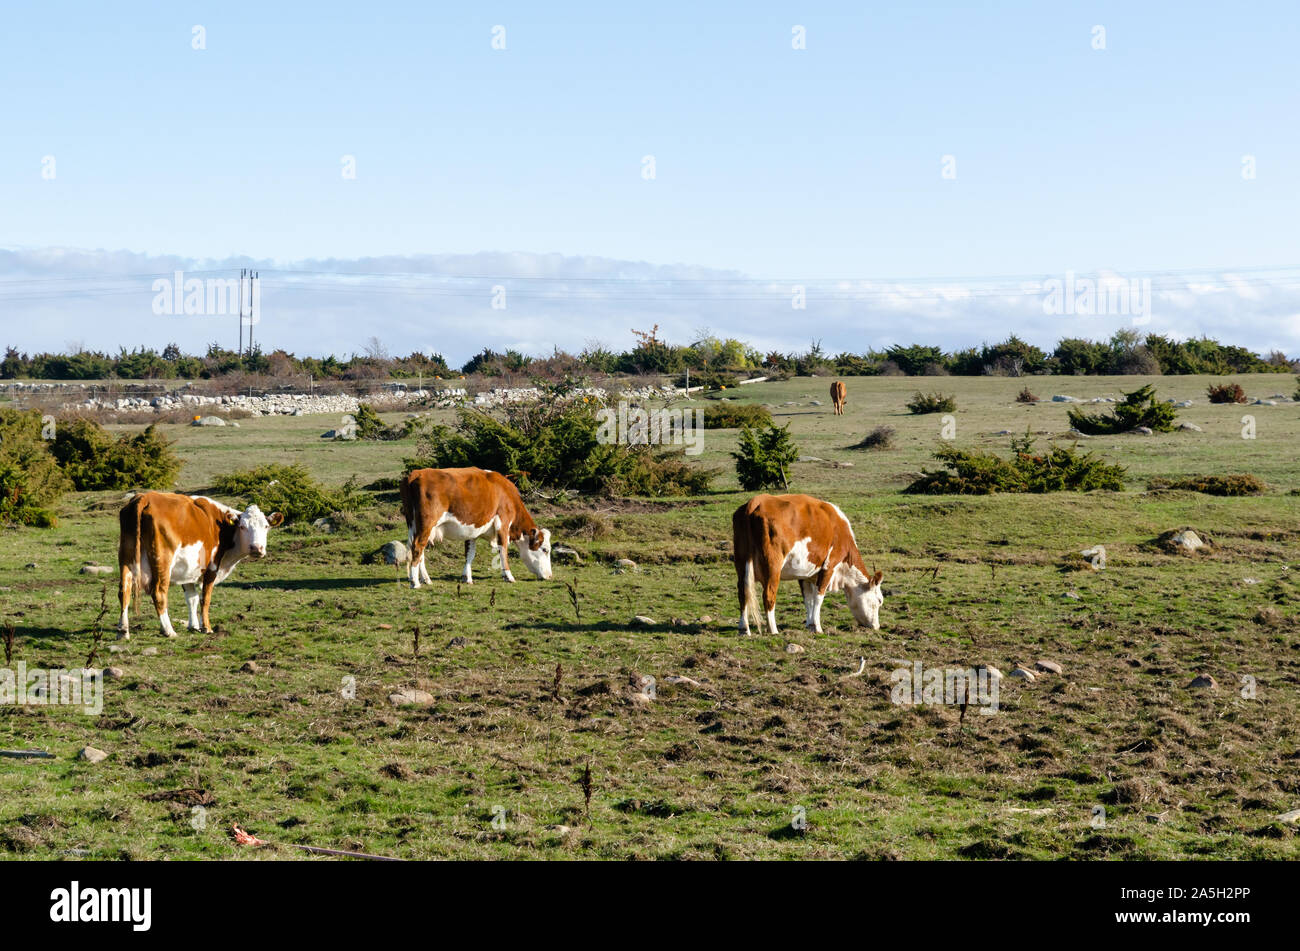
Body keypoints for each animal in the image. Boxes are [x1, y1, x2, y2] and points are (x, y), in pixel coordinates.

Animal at [116, 491, 284, 639]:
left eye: (266, 526)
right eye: (242, 526)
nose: (256, 548)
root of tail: (145, 497)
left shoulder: (187, 570)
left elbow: (192, 598)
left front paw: (194, 626)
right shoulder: (212, 567)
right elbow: (205, 598)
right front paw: (206, 627)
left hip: (126, 558)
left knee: (124, 591)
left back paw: (123, 631)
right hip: (162, 561)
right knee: (159, 593)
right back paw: (168, 630)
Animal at [400, 465, 553, 587]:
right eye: (545, 550)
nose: (550, 576)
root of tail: (417, 473)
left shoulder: (472, 530)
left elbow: (470, 553)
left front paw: (466, 577)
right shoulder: (502, 523)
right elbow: (503, 550)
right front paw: (508, 576)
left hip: (414, 525)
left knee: (418, 550)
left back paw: (426, 579)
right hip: (426, 524)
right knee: (418, 547)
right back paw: (415, 582)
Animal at [733, 493, 883, 634]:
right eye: (880, 600)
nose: (877, 626)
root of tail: (755, 501)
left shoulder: (805, 574)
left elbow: (808, 598)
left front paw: (810, 625)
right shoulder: (828, 567)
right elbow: (818, 597)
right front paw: (817, 627)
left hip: (741, 563)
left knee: (742, 593)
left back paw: (744, 629)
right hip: (773, 567)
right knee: (769, 594)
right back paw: (773, 630)